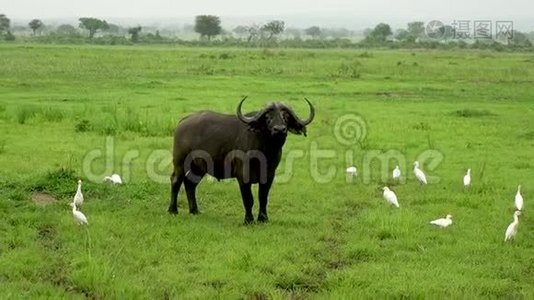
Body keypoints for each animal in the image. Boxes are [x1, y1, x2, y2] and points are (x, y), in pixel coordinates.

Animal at [170, 96, 316, 223]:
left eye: (285, 116)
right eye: (267, 117)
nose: (279, 129)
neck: (265, 151)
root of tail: (183, 122)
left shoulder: (269, 176)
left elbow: (263, 197)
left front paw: (263, 219)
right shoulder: (243, 176)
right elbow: (248, 199)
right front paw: (249, 220)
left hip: (199, 167)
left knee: (190, 184)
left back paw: (194, 211)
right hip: (180, 163)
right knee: (176, 181)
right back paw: (173, 210)